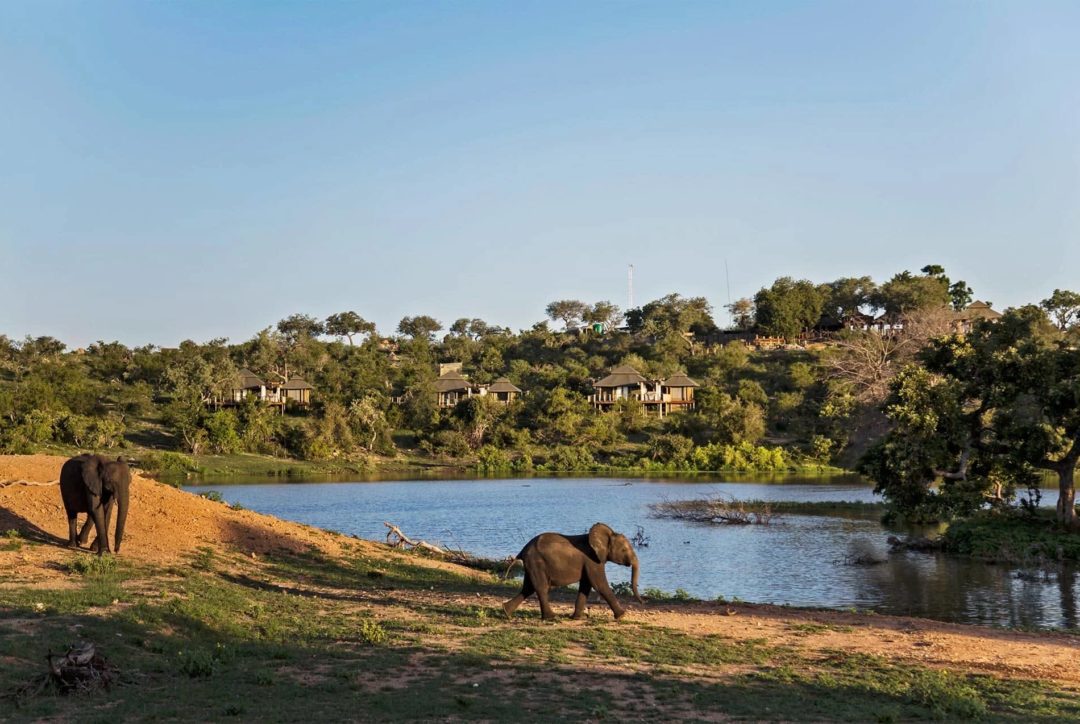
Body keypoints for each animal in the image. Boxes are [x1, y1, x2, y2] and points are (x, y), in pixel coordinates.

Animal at [498, 523, 639, 622]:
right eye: (624, 550)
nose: (641, 601)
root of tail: (522, 550)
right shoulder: (593, 560)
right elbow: (599, 584)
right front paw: (622, 615)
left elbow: (586, 586)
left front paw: (576, 618)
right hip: (536, 562)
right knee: (541, 587)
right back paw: (551, 617)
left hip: (531, 564)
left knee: (528, 588)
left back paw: (506, 612)